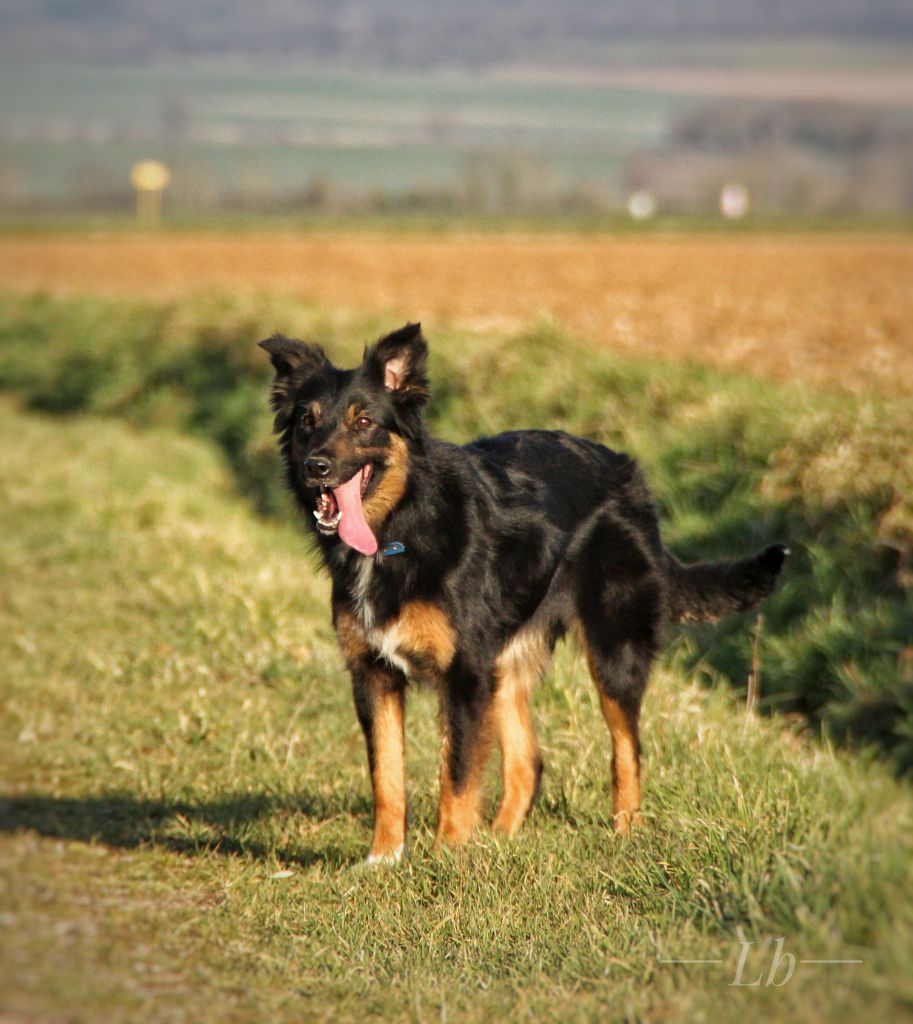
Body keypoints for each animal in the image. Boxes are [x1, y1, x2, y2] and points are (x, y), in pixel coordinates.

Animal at [259, 323, 790, 860]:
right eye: (307, 421)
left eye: (364, 421)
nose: (316, 467)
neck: (401, 525)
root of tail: (629, 474)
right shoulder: (374, 673)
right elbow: (386, 777)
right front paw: (384, 859)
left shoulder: (464, 674)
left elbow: (456, 776)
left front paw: (448, 857)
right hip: (507, 663)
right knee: (527, 762)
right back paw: (499, 840)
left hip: (612, 651)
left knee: (627, 749)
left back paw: (624, 833)